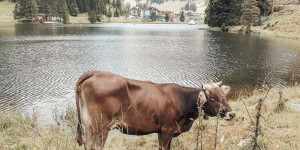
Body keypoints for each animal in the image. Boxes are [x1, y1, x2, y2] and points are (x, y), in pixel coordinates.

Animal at [75, 71, 234, 149]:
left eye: (224, 95)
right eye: (212, 97)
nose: (231, 113)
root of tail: (96, 73)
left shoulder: (162, 131)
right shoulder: (167, 130)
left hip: (89, 126)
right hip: (101, 127)